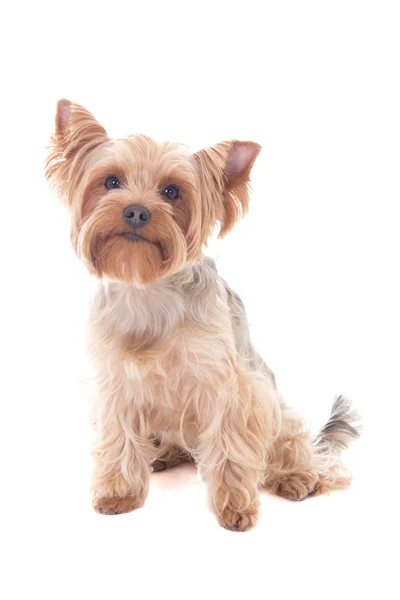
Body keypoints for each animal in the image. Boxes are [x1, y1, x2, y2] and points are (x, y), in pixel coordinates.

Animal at [44, 101, 360, 532]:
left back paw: (296, 477)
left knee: (294, 447)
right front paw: (119, 495)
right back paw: (162, 455)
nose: (136, 211)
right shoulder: (116, 384)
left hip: (271, 404)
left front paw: (235, 509)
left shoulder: (226, 386)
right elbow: (120, 438)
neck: (149, 289)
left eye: (171, 191)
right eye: (110, 182)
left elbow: (230, 447)